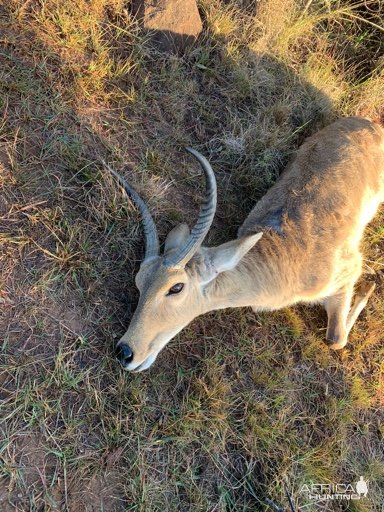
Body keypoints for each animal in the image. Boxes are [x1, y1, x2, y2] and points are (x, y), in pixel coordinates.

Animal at [103, 116, 382, 372]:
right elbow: (336, 339)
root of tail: (368, 124)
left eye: (176, 287)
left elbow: (336, 339)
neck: (286, 260)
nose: (125, 352)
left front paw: (368, 285)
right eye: (139, 281)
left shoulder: (345, 276)